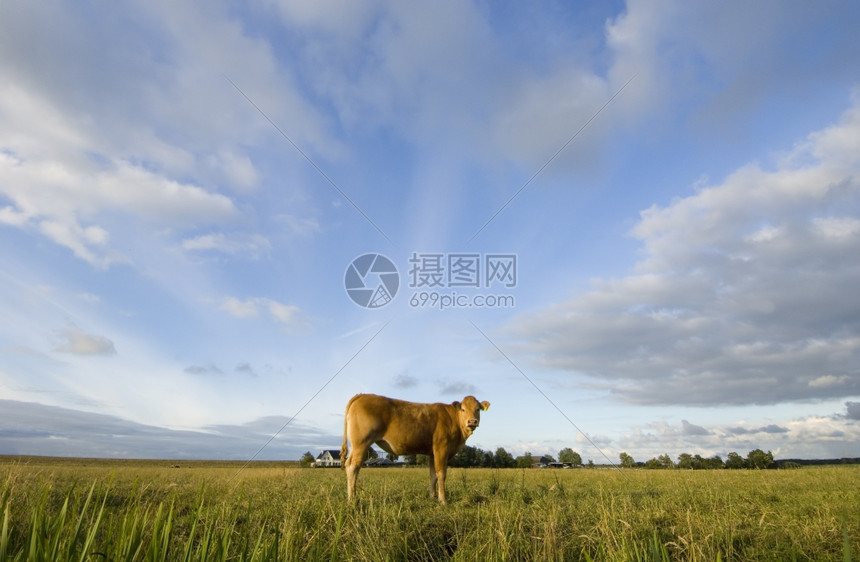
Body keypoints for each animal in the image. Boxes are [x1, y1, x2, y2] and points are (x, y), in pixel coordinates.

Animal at [342, 392, 490, 500]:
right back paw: (352, 499)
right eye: (463, 409)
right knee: (353, 466)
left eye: (478, 409)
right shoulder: (441, 447)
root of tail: (362, 395)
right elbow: (441, 474)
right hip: (361, 442)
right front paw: (443, 500)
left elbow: (433, 475)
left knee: (350, 465)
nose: (472, 421)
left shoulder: (432, 452)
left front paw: (432, 497)